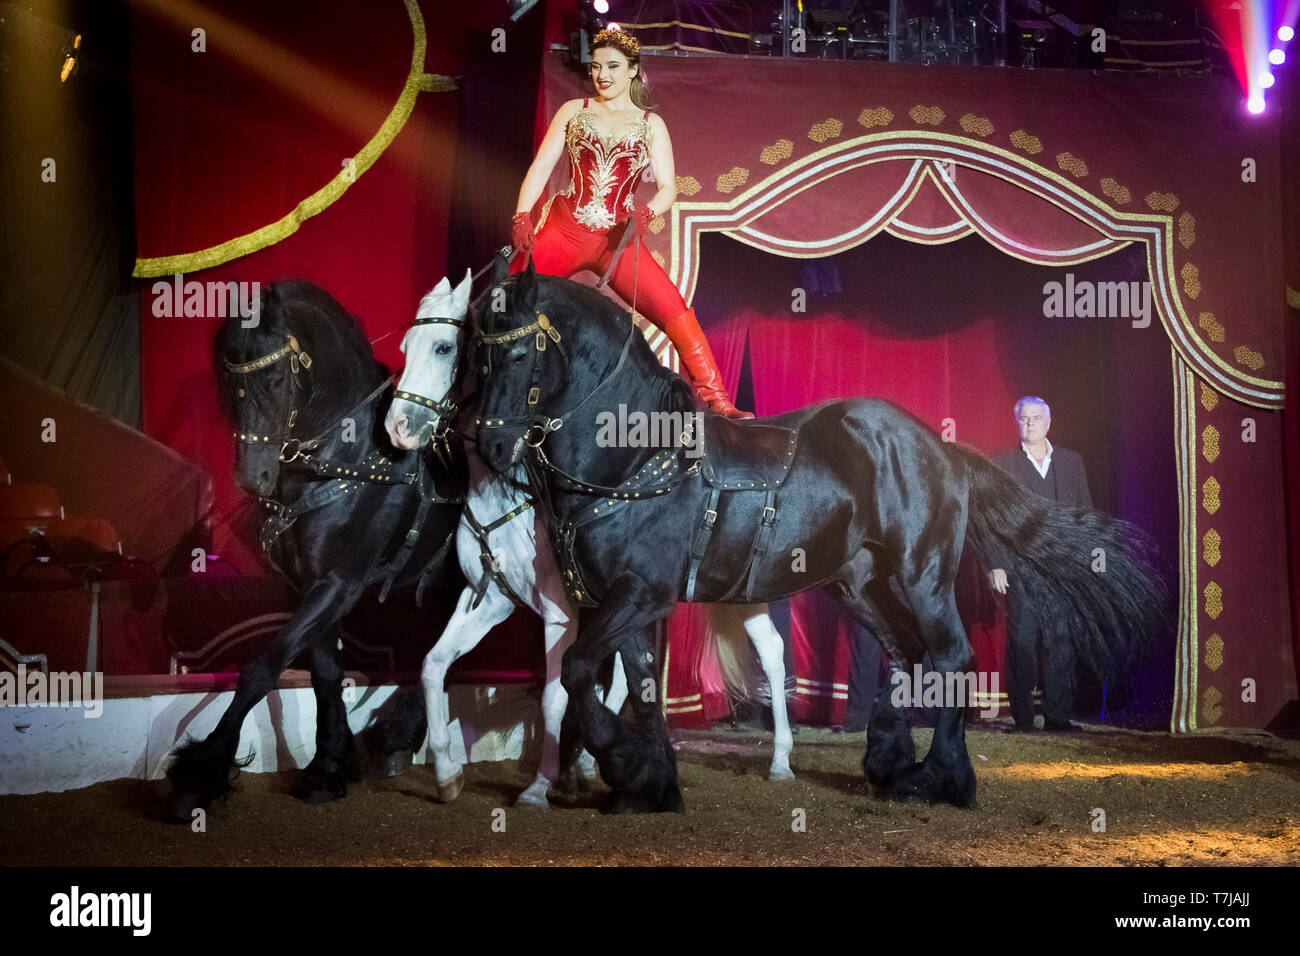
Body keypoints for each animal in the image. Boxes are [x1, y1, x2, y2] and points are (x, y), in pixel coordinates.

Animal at [165, 277, 465, 822]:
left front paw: (201, 774)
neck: (344, 460)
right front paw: (329, 764)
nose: (253, 478)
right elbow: (326, 671)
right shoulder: (308, 584)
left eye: (276, 379)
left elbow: (261, 669)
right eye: (229, 383)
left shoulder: (338, 584)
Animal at [379, 274, 795, 801]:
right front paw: (448, 773)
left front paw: (539, 785)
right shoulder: (490, 598)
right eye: (405, 346)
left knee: (770, 655)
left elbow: (554, 696)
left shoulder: (562, 609)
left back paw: (777, 761)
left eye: (444, 347)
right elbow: (434, 665)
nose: (398, 428)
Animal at [473, 264, 1164, 816]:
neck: (635, 456)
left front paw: (620, 764)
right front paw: (649, 783)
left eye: (515, 354)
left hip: (924, 576)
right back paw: (890, 761)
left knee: (951, 657)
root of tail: (940, 447)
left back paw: (941, 780)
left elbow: (579, 669)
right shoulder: (618, 600)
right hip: (858, 585)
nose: (488, 445)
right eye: (474, 355)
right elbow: (633, 684)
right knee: (908, 654)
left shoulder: (642, 593)